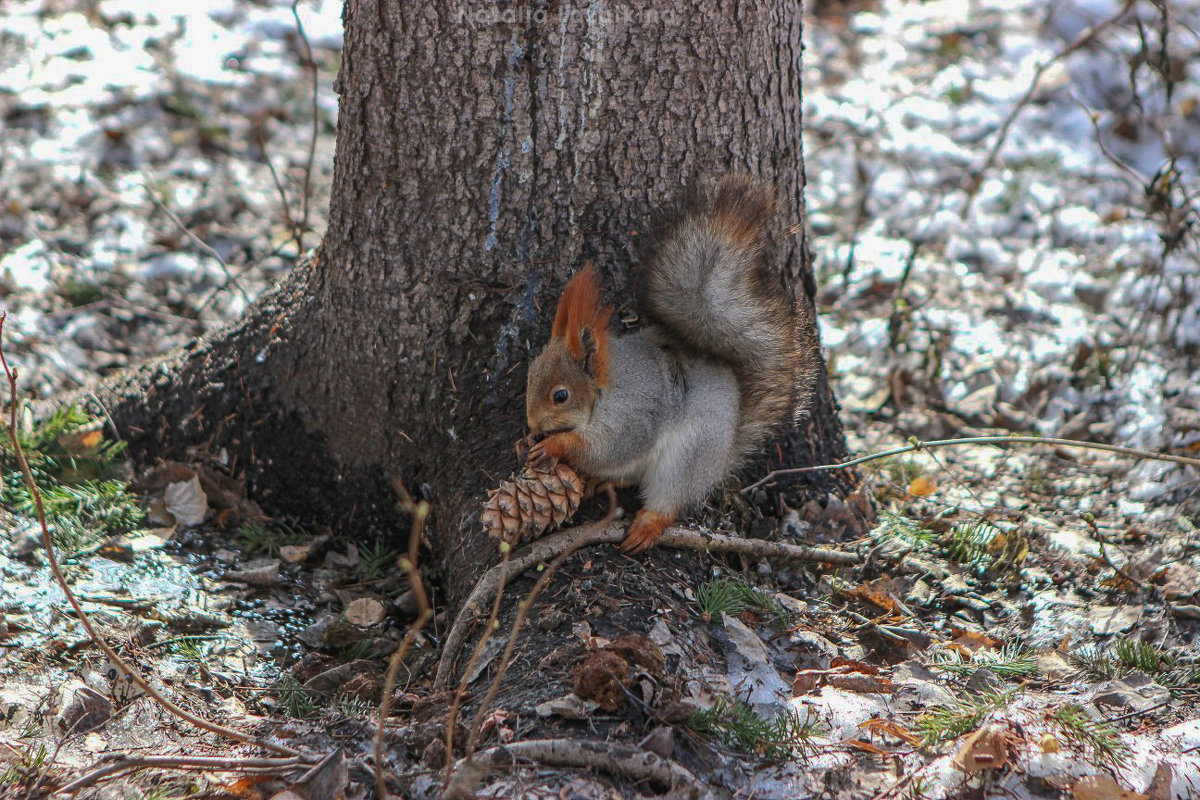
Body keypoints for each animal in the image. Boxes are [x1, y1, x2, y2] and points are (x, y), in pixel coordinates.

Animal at [528, 173, 806, 551]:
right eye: (530, 375)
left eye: (561, 395)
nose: (531, 424)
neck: (604, 390)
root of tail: (723, 458)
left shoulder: (633, 416)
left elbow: (607, 449)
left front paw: (555, 445)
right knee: (628, 477)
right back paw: (599, 484)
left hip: (688, 457)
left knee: (670, 499)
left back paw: (647, 524)